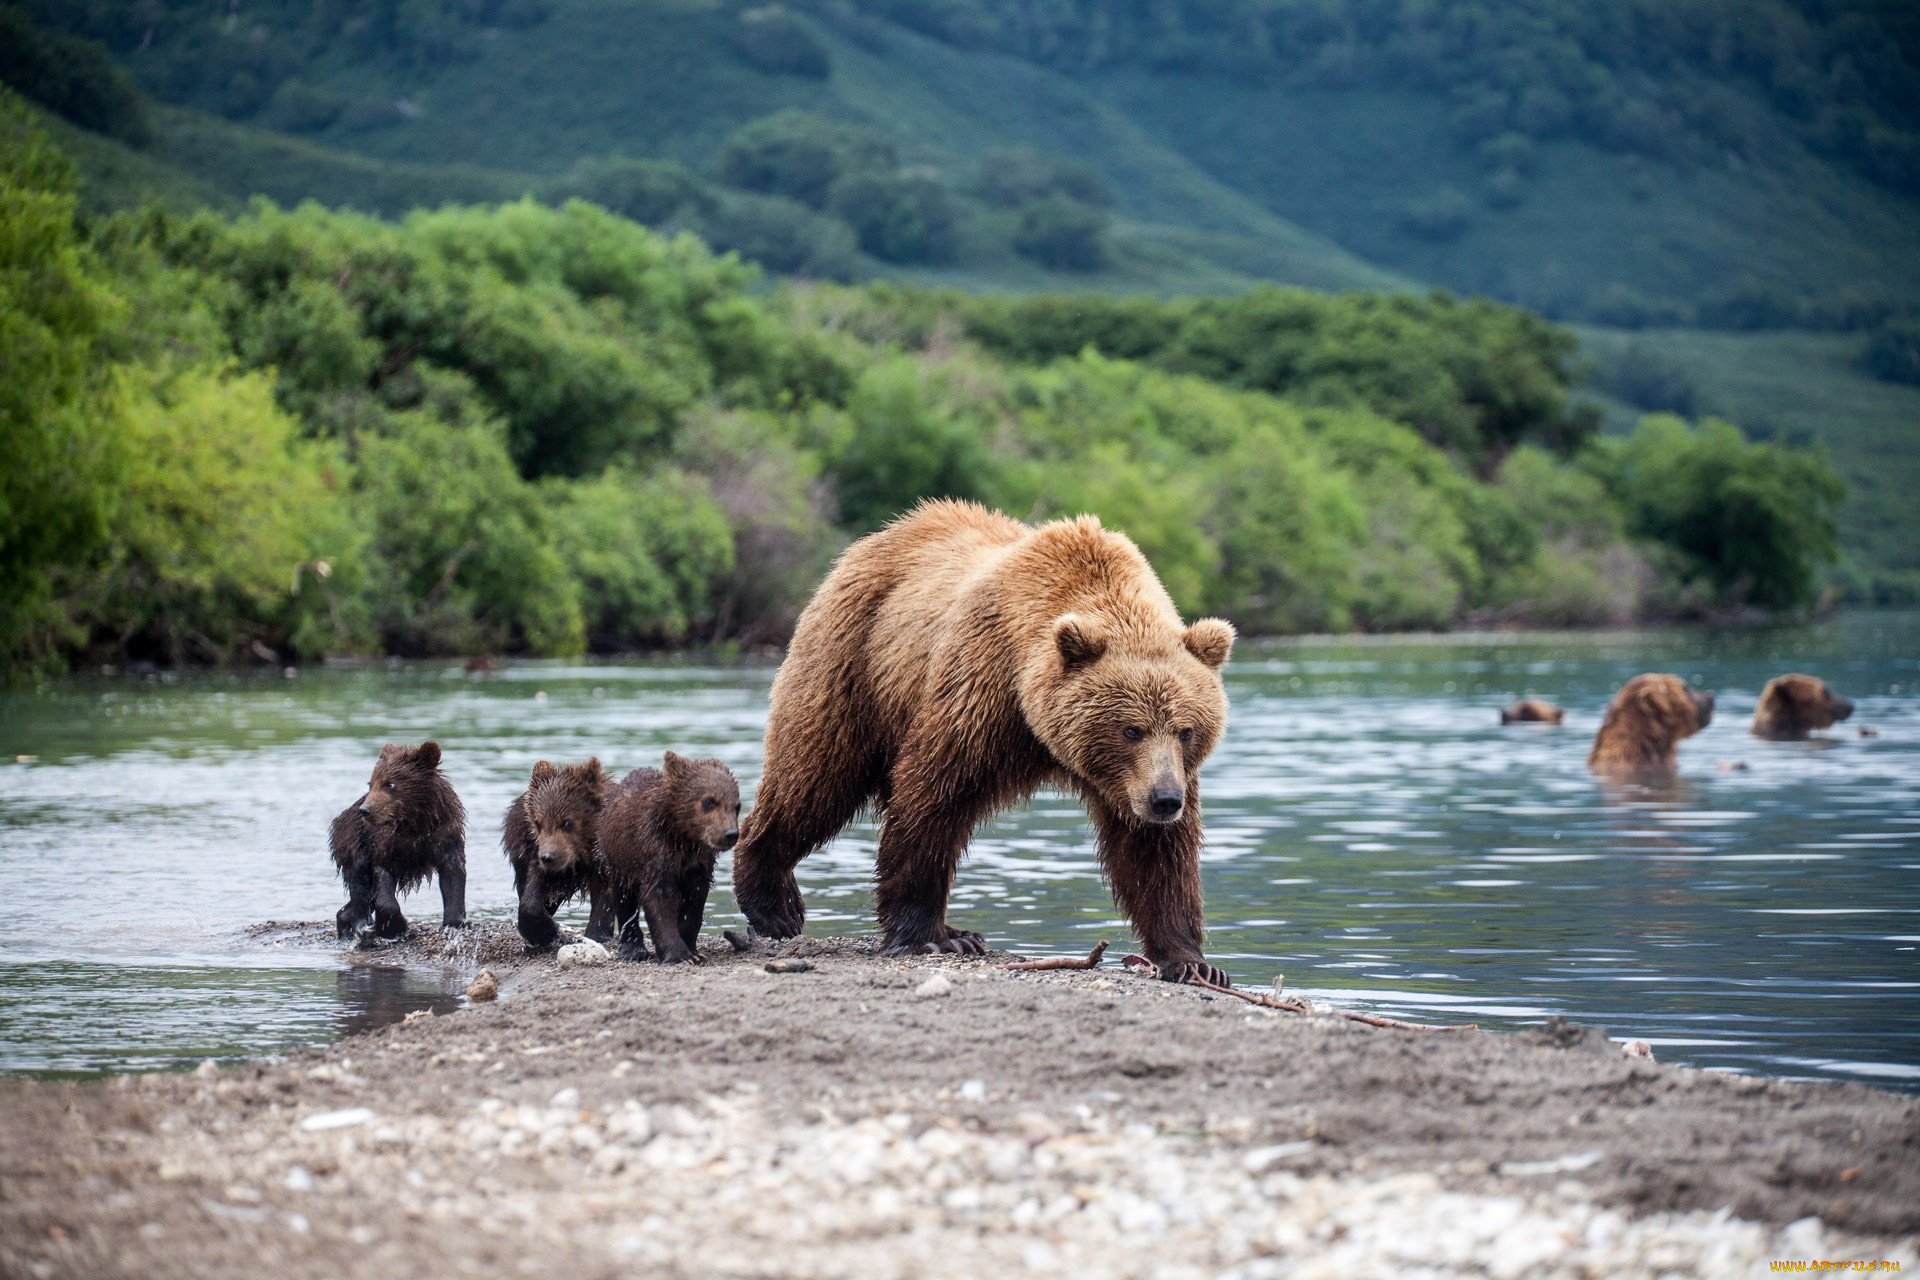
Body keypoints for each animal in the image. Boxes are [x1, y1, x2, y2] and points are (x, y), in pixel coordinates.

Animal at [330, 740, 464, 940]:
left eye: (390, 783)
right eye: (371, 784)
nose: (365, 810)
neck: (415, 822)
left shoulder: (444, 834)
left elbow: (453, 875)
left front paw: (455, 923)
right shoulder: (383, 843)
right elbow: (383, 881)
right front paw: (395, 926)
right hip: (353, 847)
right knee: (361, 890)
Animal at [499, 759, 602, 951]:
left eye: (568, 823)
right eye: (538, 823)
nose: (548, 856)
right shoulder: (536, 854)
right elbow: (533, 893)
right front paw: (546, 931)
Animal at [587, 752, 737, 959]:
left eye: (737, 806)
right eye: (709, 801)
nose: (730, 833)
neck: (682, 837)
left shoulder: (699, 864)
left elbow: (695, 900)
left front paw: (692, 949)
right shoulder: (655, 854)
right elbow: (660, 900)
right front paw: (679, 954)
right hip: (619, 859)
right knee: (624, 899)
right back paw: (633, 949)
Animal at [725, 495, 1236, 990]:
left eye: (1186, 730)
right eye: (1131, 729)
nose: (1165, 800)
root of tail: (882, 536)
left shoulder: (1139, 779)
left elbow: (1154, 855)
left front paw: (1192, 962)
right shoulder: (980, 693)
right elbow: (934, 797)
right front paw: (930, 936)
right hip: (853, 661)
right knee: (816, 776)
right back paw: (776, 905)